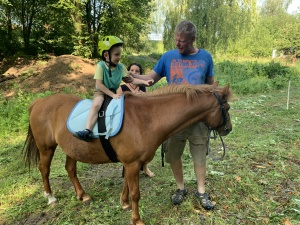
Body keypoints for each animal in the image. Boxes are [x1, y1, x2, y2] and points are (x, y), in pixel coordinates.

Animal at [22, 83, 232, 225]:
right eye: (227, 108)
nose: (228, 129)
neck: (146, 118)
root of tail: (38, 102)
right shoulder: (132, 163)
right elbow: (135, 193)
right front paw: (136, 219)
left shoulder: (131, 163)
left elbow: (126, 187)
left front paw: (124, 204)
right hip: (46, 148)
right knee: (44, 169)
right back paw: (50, 197)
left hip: (71, 148)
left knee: (70, 169)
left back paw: (82, 195)